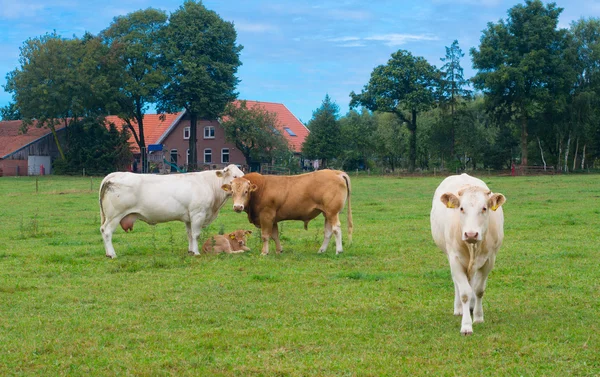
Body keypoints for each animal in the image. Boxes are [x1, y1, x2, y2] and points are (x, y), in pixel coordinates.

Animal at [98, 163, 244, 258]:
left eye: (243, 176)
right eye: (234, 176)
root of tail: (114, 175)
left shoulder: (189, 217)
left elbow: (189, 234)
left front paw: (191, 251)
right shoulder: (198, 214)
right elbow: (196, 234)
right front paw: (196, 252)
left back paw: (107, 253)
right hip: (114, 215)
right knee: (107, 232)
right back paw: (112, 254)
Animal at [220, 170, 352, 256]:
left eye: (246, 191)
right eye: (232, 192)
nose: (238, 207)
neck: (261, 189)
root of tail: (336, 172)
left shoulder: (266, 216)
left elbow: (265, 236)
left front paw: (264, 252)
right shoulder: (273, 219)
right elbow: (275, 235)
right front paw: (279, 250)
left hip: (332, 212)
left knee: (336, 229)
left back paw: (339, 250)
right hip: (327, 213)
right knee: (328, 232)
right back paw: (321, 250)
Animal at [432, 173, 506, 334]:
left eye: (484, 208)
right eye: (461, 208)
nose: (471, 234)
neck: (473, 245)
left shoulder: (489, 260)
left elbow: (478, 290)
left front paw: (478, 317)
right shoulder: (455, 259)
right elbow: (464, 292)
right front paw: (466, 325)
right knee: (458, 283)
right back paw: (459, 309)